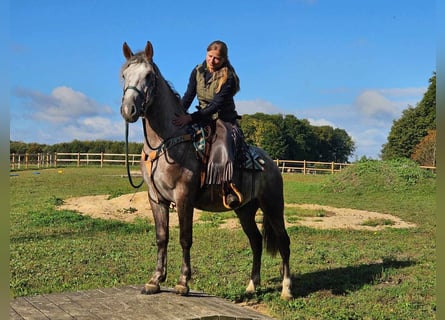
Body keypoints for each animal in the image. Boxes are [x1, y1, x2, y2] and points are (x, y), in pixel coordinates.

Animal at [119, 40, 292, 300]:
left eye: (149, 75)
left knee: (283, 241)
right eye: (123, 75)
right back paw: (252, 285)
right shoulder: (156, 198)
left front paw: (183, 283)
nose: (129, 109)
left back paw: (286, 289)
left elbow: (184, 238)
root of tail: (270, 163)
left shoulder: (183, 197)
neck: (167, 142)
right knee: (255, 241)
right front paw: (155, 280)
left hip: (272, 205)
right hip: (245, 209)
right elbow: (161, 238)